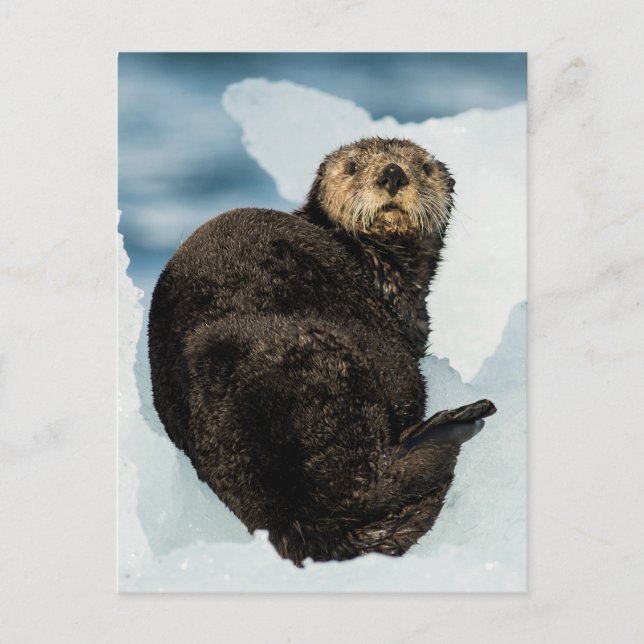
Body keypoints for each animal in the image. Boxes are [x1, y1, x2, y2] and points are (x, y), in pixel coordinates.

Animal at [148, 137, 496, 565]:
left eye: (424, 168)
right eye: (352, 167)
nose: (393, 174)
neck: (379, 265)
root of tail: (288, 517)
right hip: (343, 371)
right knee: (374, 479)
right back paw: (461, 420)